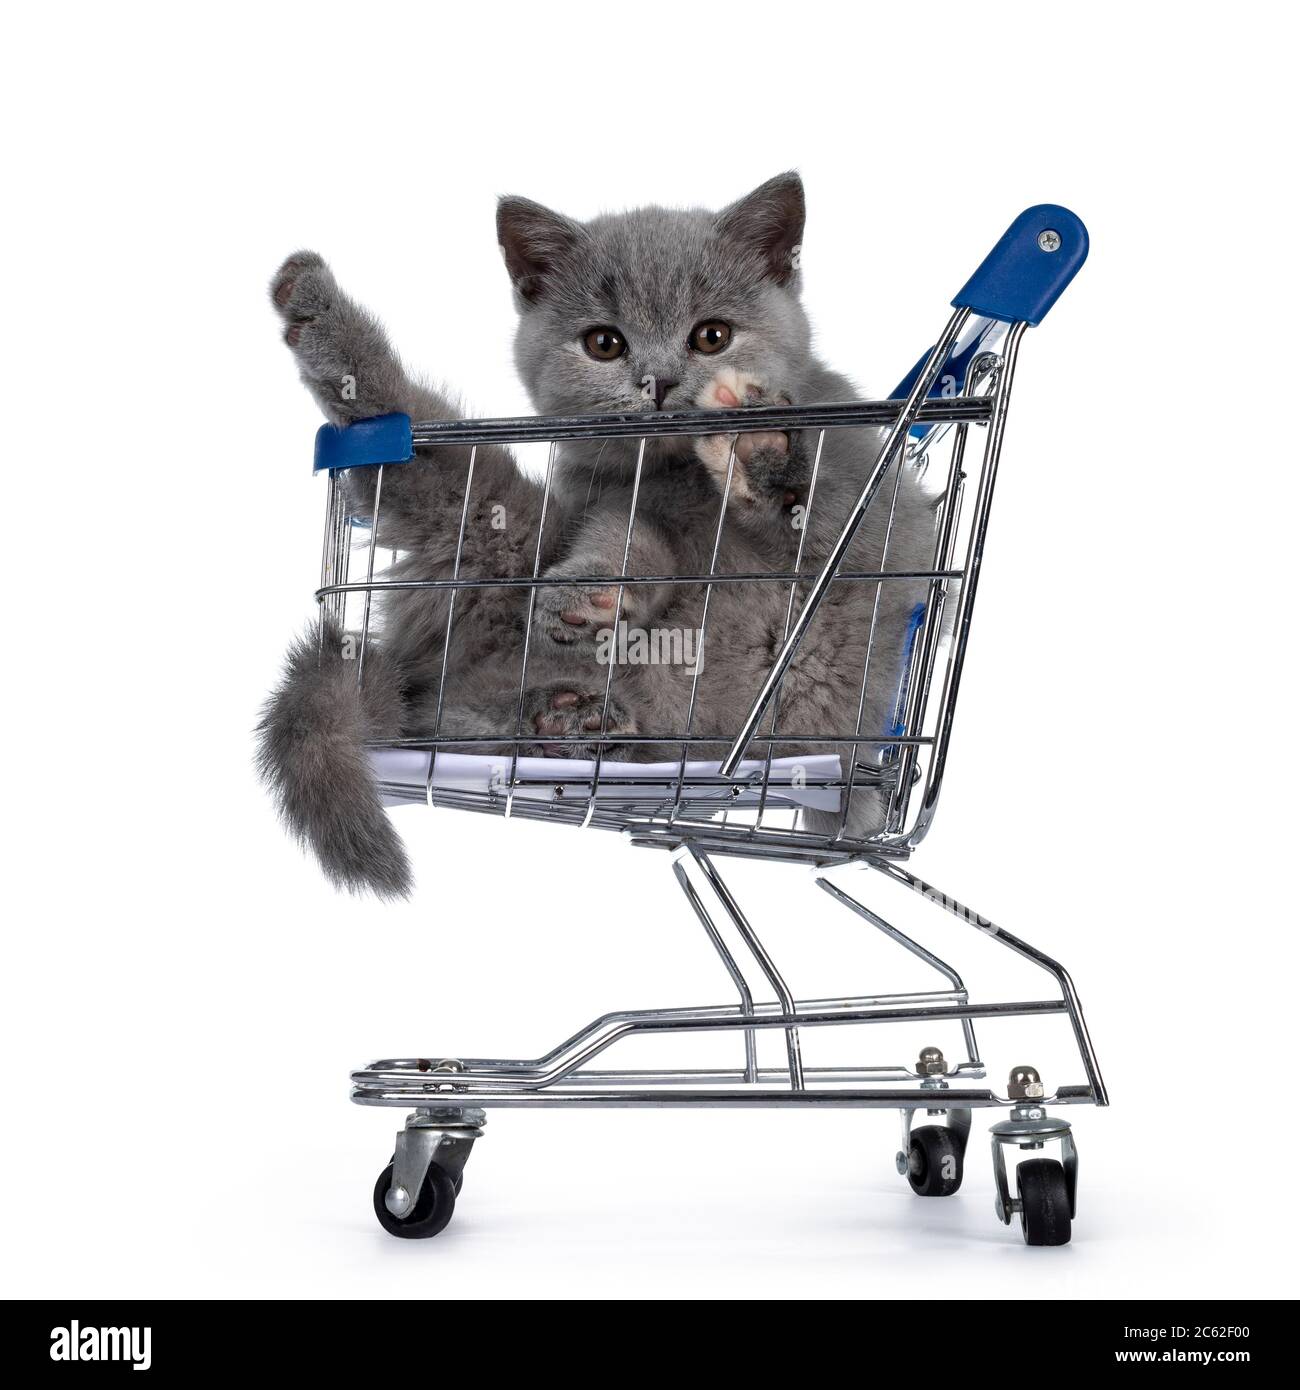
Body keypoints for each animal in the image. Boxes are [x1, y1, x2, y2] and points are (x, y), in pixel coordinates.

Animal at [257, 173, 945, 895]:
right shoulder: (603, 505)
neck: (676, 473)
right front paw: (588, 597)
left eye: (713, 336)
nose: (660, 381)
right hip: (491, 546)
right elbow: (631, 545)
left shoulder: (875, 511)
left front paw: (760, 453)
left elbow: (822, 522)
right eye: (604, 344)